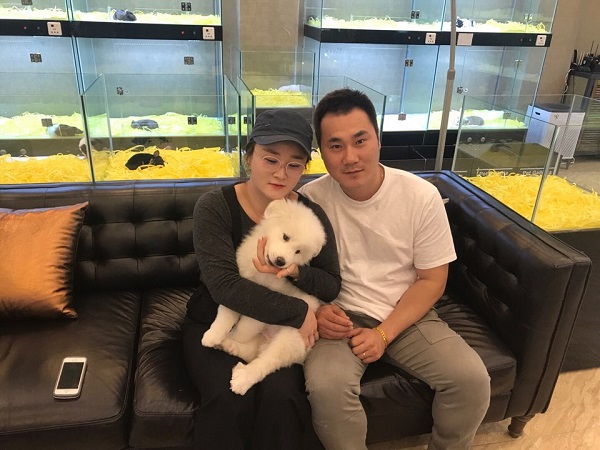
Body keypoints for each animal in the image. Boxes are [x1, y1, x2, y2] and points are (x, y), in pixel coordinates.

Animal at [201, 198, 327, 395]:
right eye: (285, 237)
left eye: (298, 251)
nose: (281, 261)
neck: (263, 275)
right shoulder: (239, 285)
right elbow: (226, 312)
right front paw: (213, 334)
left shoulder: (269, 302)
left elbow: (246, 325)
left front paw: (234, 334)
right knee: (254, 352)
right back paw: (228, 345)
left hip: (291, 337)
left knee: (266, 360)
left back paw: (242, 378)